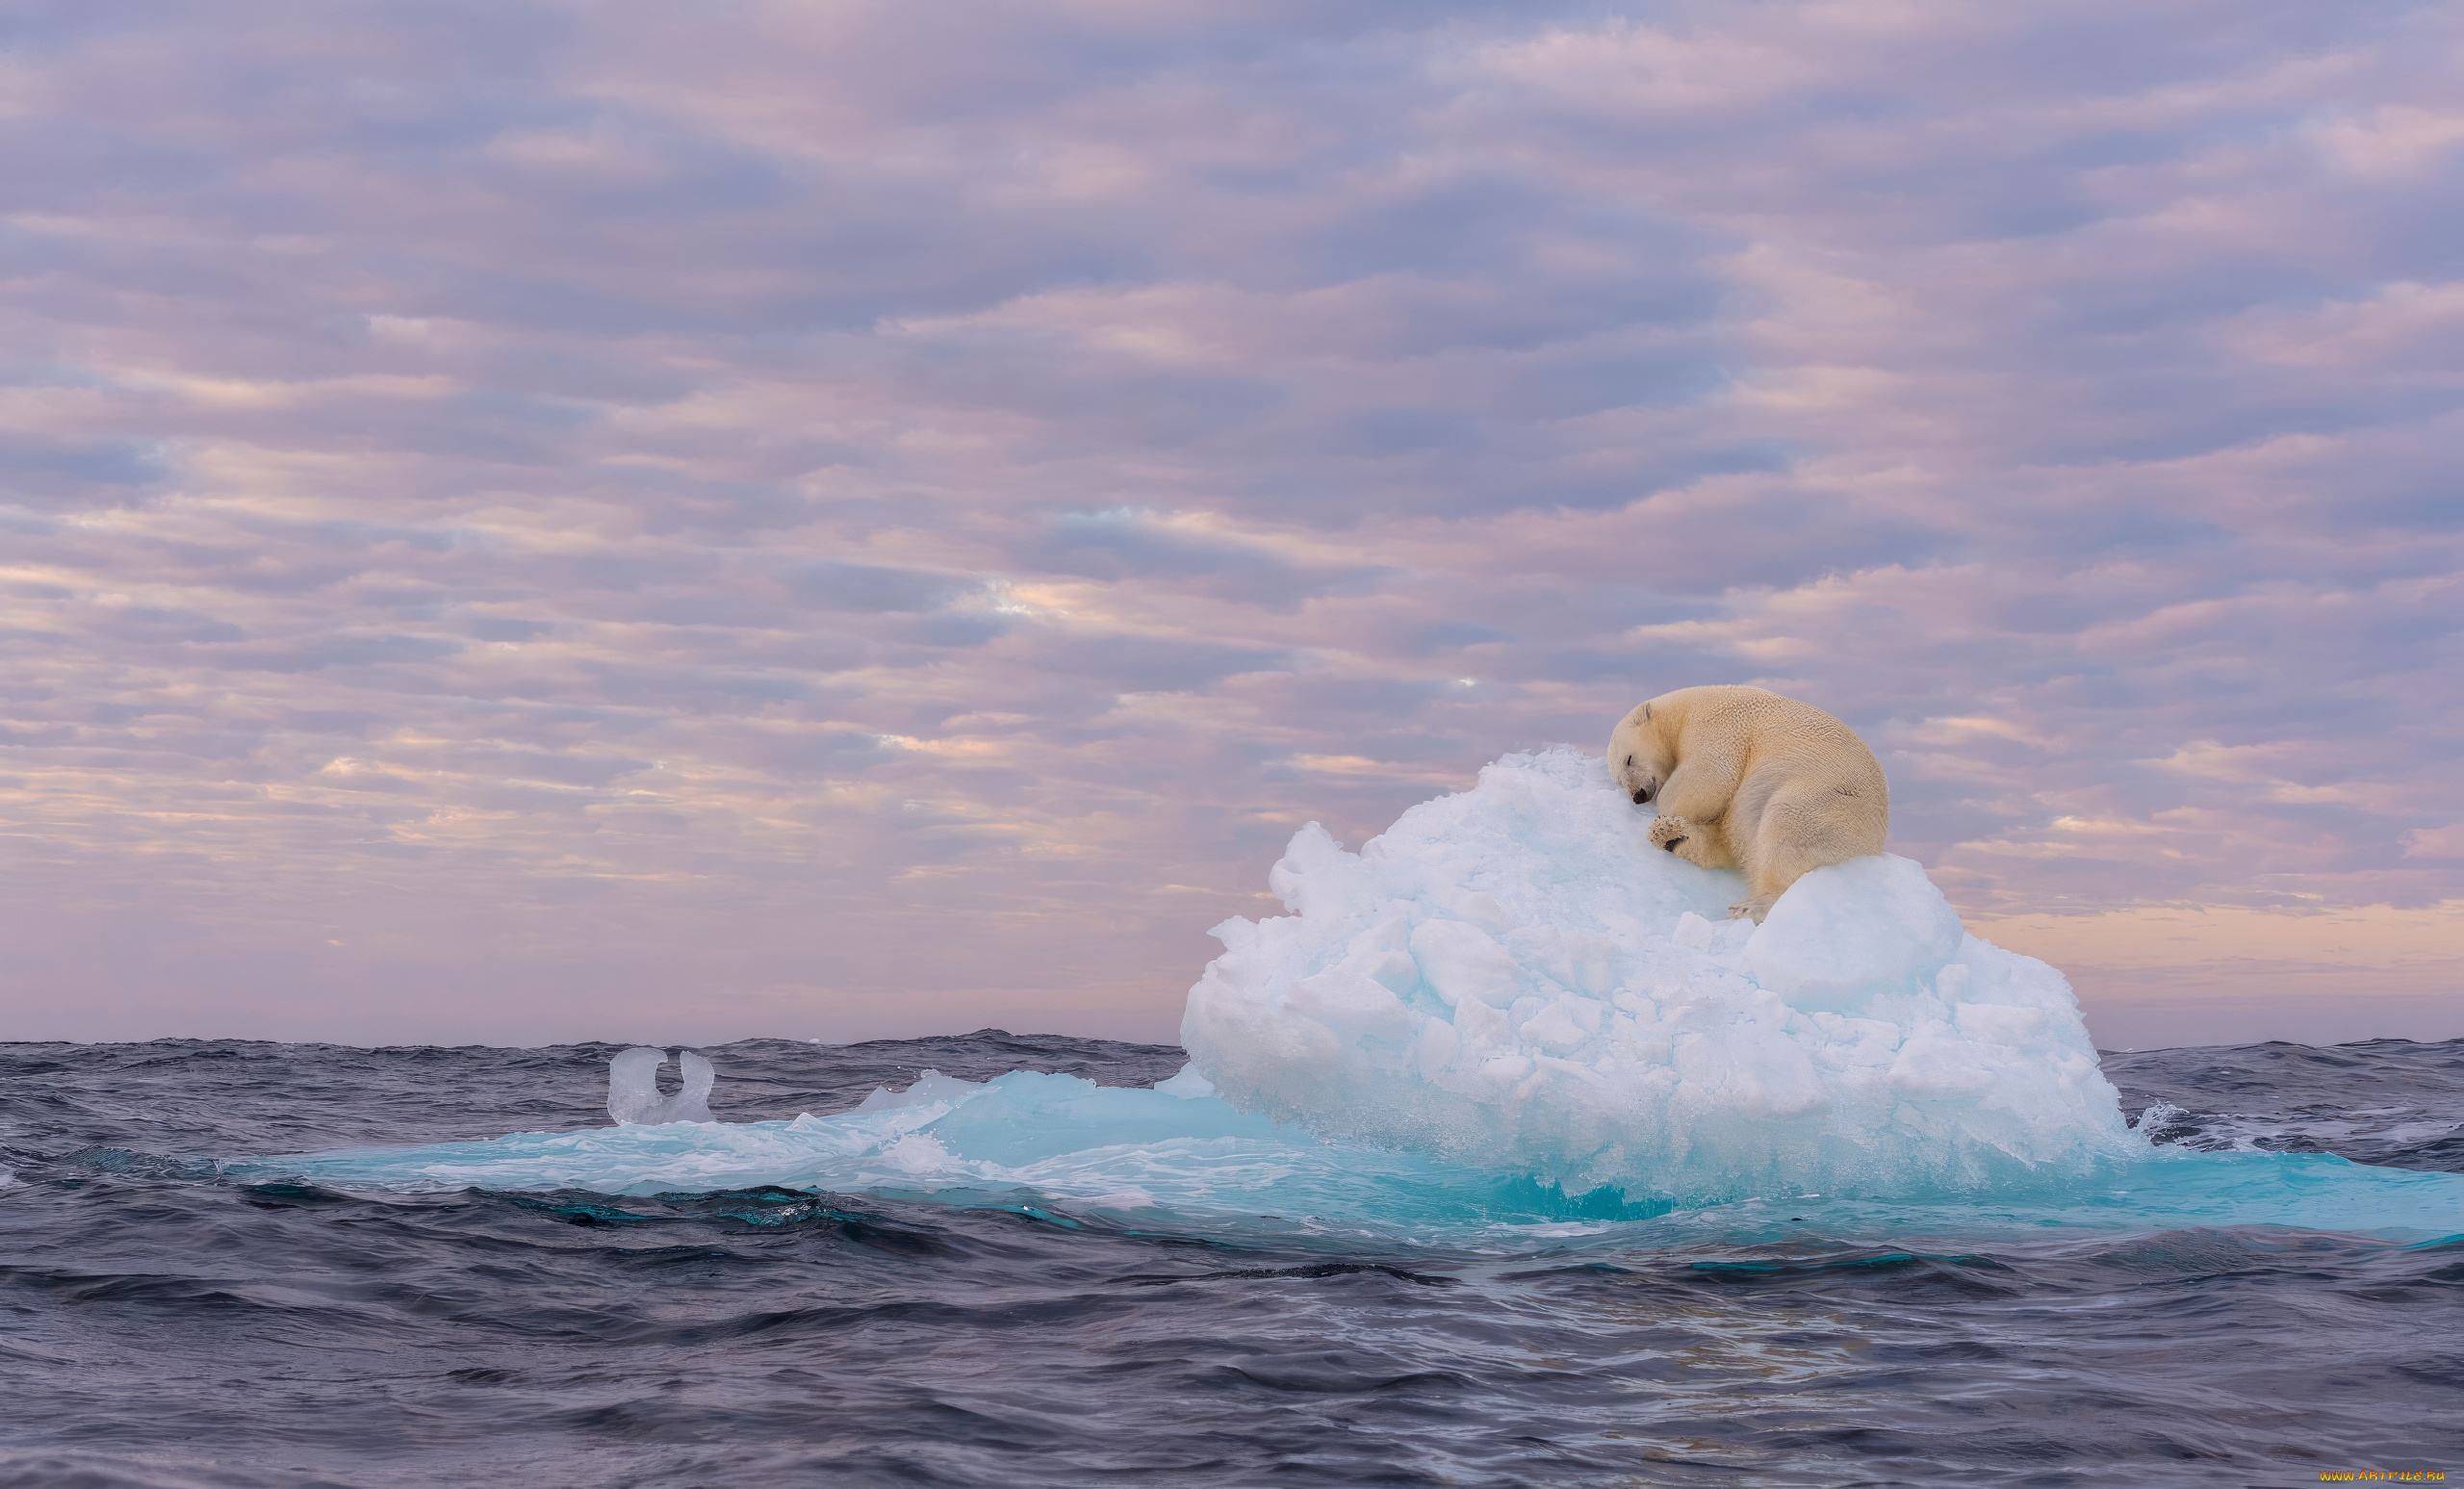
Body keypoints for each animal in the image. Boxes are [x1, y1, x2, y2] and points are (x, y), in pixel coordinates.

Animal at [1616, 685, 1882, 916]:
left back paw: (1753, 906)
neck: (1683, 710)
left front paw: (1667, 811)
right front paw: (1668, 827)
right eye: (1619, 780)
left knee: (1786, 826)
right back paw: (1673, 838)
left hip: (1831, 803)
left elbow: (1710, 776)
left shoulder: (1719, 728)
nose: (1638, 795)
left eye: (1628, 759)